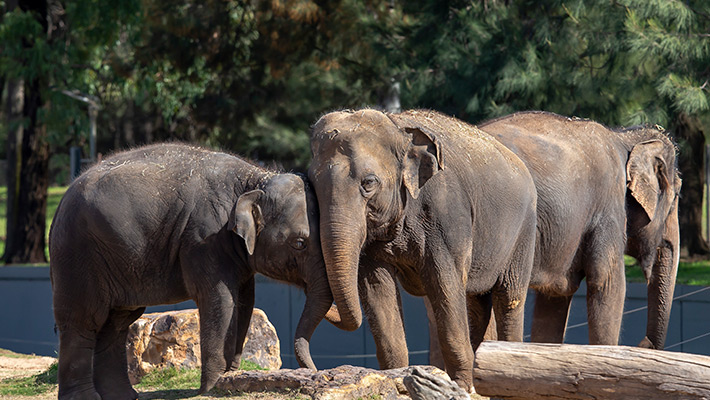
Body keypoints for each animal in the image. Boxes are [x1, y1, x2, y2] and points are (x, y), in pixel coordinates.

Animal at [50, 142, 334, 398]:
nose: (315, 373)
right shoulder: (203, 239)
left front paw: (231, 377)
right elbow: (220, 300)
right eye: (300, 243)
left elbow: (245, 302)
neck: (256, 178)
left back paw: (122, 396)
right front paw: (213, 386)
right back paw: (85, 398)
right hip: (77, 255)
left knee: (117, 322)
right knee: (83, 321)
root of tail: (61, 201)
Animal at [308, 108, 536, 390]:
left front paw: (461, 387)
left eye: (369, 182)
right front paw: (396, 378)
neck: (397, 126)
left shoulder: (446, 215)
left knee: (509, 297)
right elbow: (376, 289)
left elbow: (445, 284)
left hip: (524, 230)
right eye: (311, 184)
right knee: (475, 301)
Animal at [484, 111, 684, 348]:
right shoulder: (608, 208)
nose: (644, 343)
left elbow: (554, 298)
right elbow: (608, 285)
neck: (624, 137)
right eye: (677, 196)